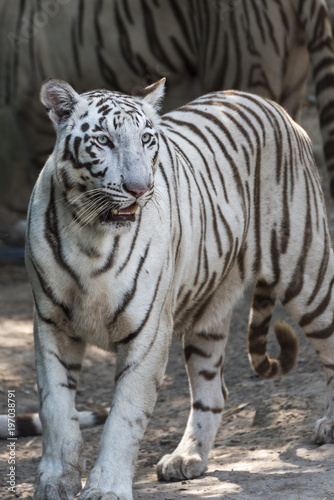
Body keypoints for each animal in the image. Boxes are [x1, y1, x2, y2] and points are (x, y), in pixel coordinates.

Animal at [26, 79, 334, 500]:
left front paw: (105, 489)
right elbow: (55, 408)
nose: (139, 189)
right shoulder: (51, 323)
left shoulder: (148, 333)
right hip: (209, 313)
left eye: (146, 138)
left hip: (308, 274)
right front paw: (56, 481)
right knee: (213, 392)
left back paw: (328, 425)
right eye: (103, 140)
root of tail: (267, 101)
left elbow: (123, 417)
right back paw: (187, 458)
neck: (91, 234)